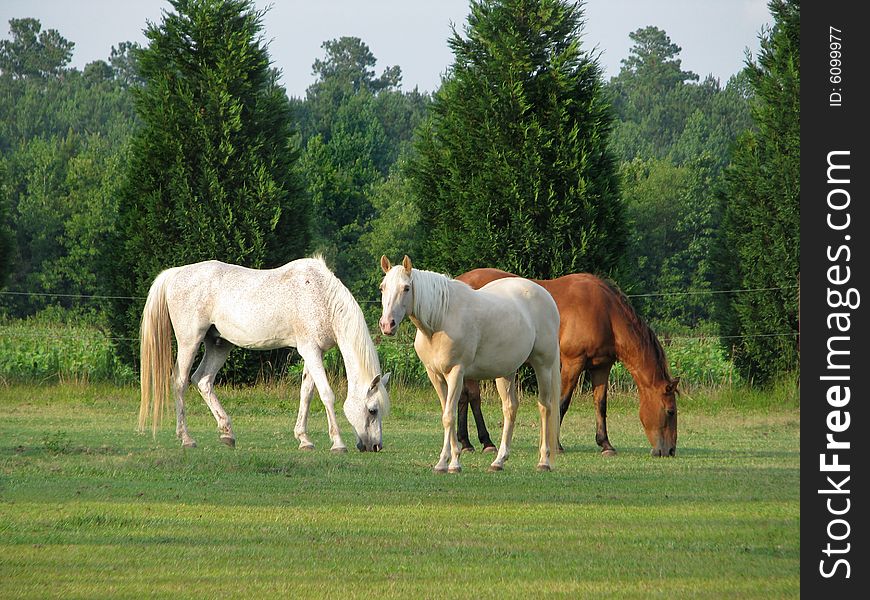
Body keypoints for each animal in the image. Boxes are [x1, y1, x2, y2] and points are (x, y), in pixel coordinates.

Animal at [140, 255, 392, 452]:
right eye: (372, 410)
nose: (375, 446)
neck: (321, 295)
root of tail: (176, 273)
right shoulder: (310, 350)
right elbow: (326, 394)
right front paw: (338, 443)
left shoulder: (313, 352)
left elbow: (307, 393)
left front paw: (304, 439)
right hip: (189, 341)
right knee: (180, 381)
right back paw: (186, 439)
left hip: (219, 344)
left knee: (202, 380)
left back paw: (227, 434)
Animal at [380, 255, 560, 472]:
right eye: (382, 287)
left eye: (406, 288)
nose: (387, 325)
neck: (441, 319)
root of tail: (545, 295)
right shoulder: (435, 375)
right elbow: (446, 415)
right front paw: (443, 463)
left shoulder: (456, 373)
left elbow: (449, 416)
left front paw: (454, 463)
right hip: (506, 372)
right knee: (510, 408)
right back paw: (499, 461)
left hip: (544, 365)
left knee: (545, 407)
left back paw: (544, 461)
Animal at [456, 270, 680, 458]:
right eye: (671, 411)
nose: (669, 450)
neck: (605, 313)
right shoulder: (573, 362)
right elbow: (562, 402)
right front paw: (555, 444)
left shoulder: (601, 366)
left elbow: (600, 404)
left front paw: (605, 444)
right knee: (472, 397)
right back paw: (483, 442)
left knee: (466, 397)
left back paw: (467, 442)